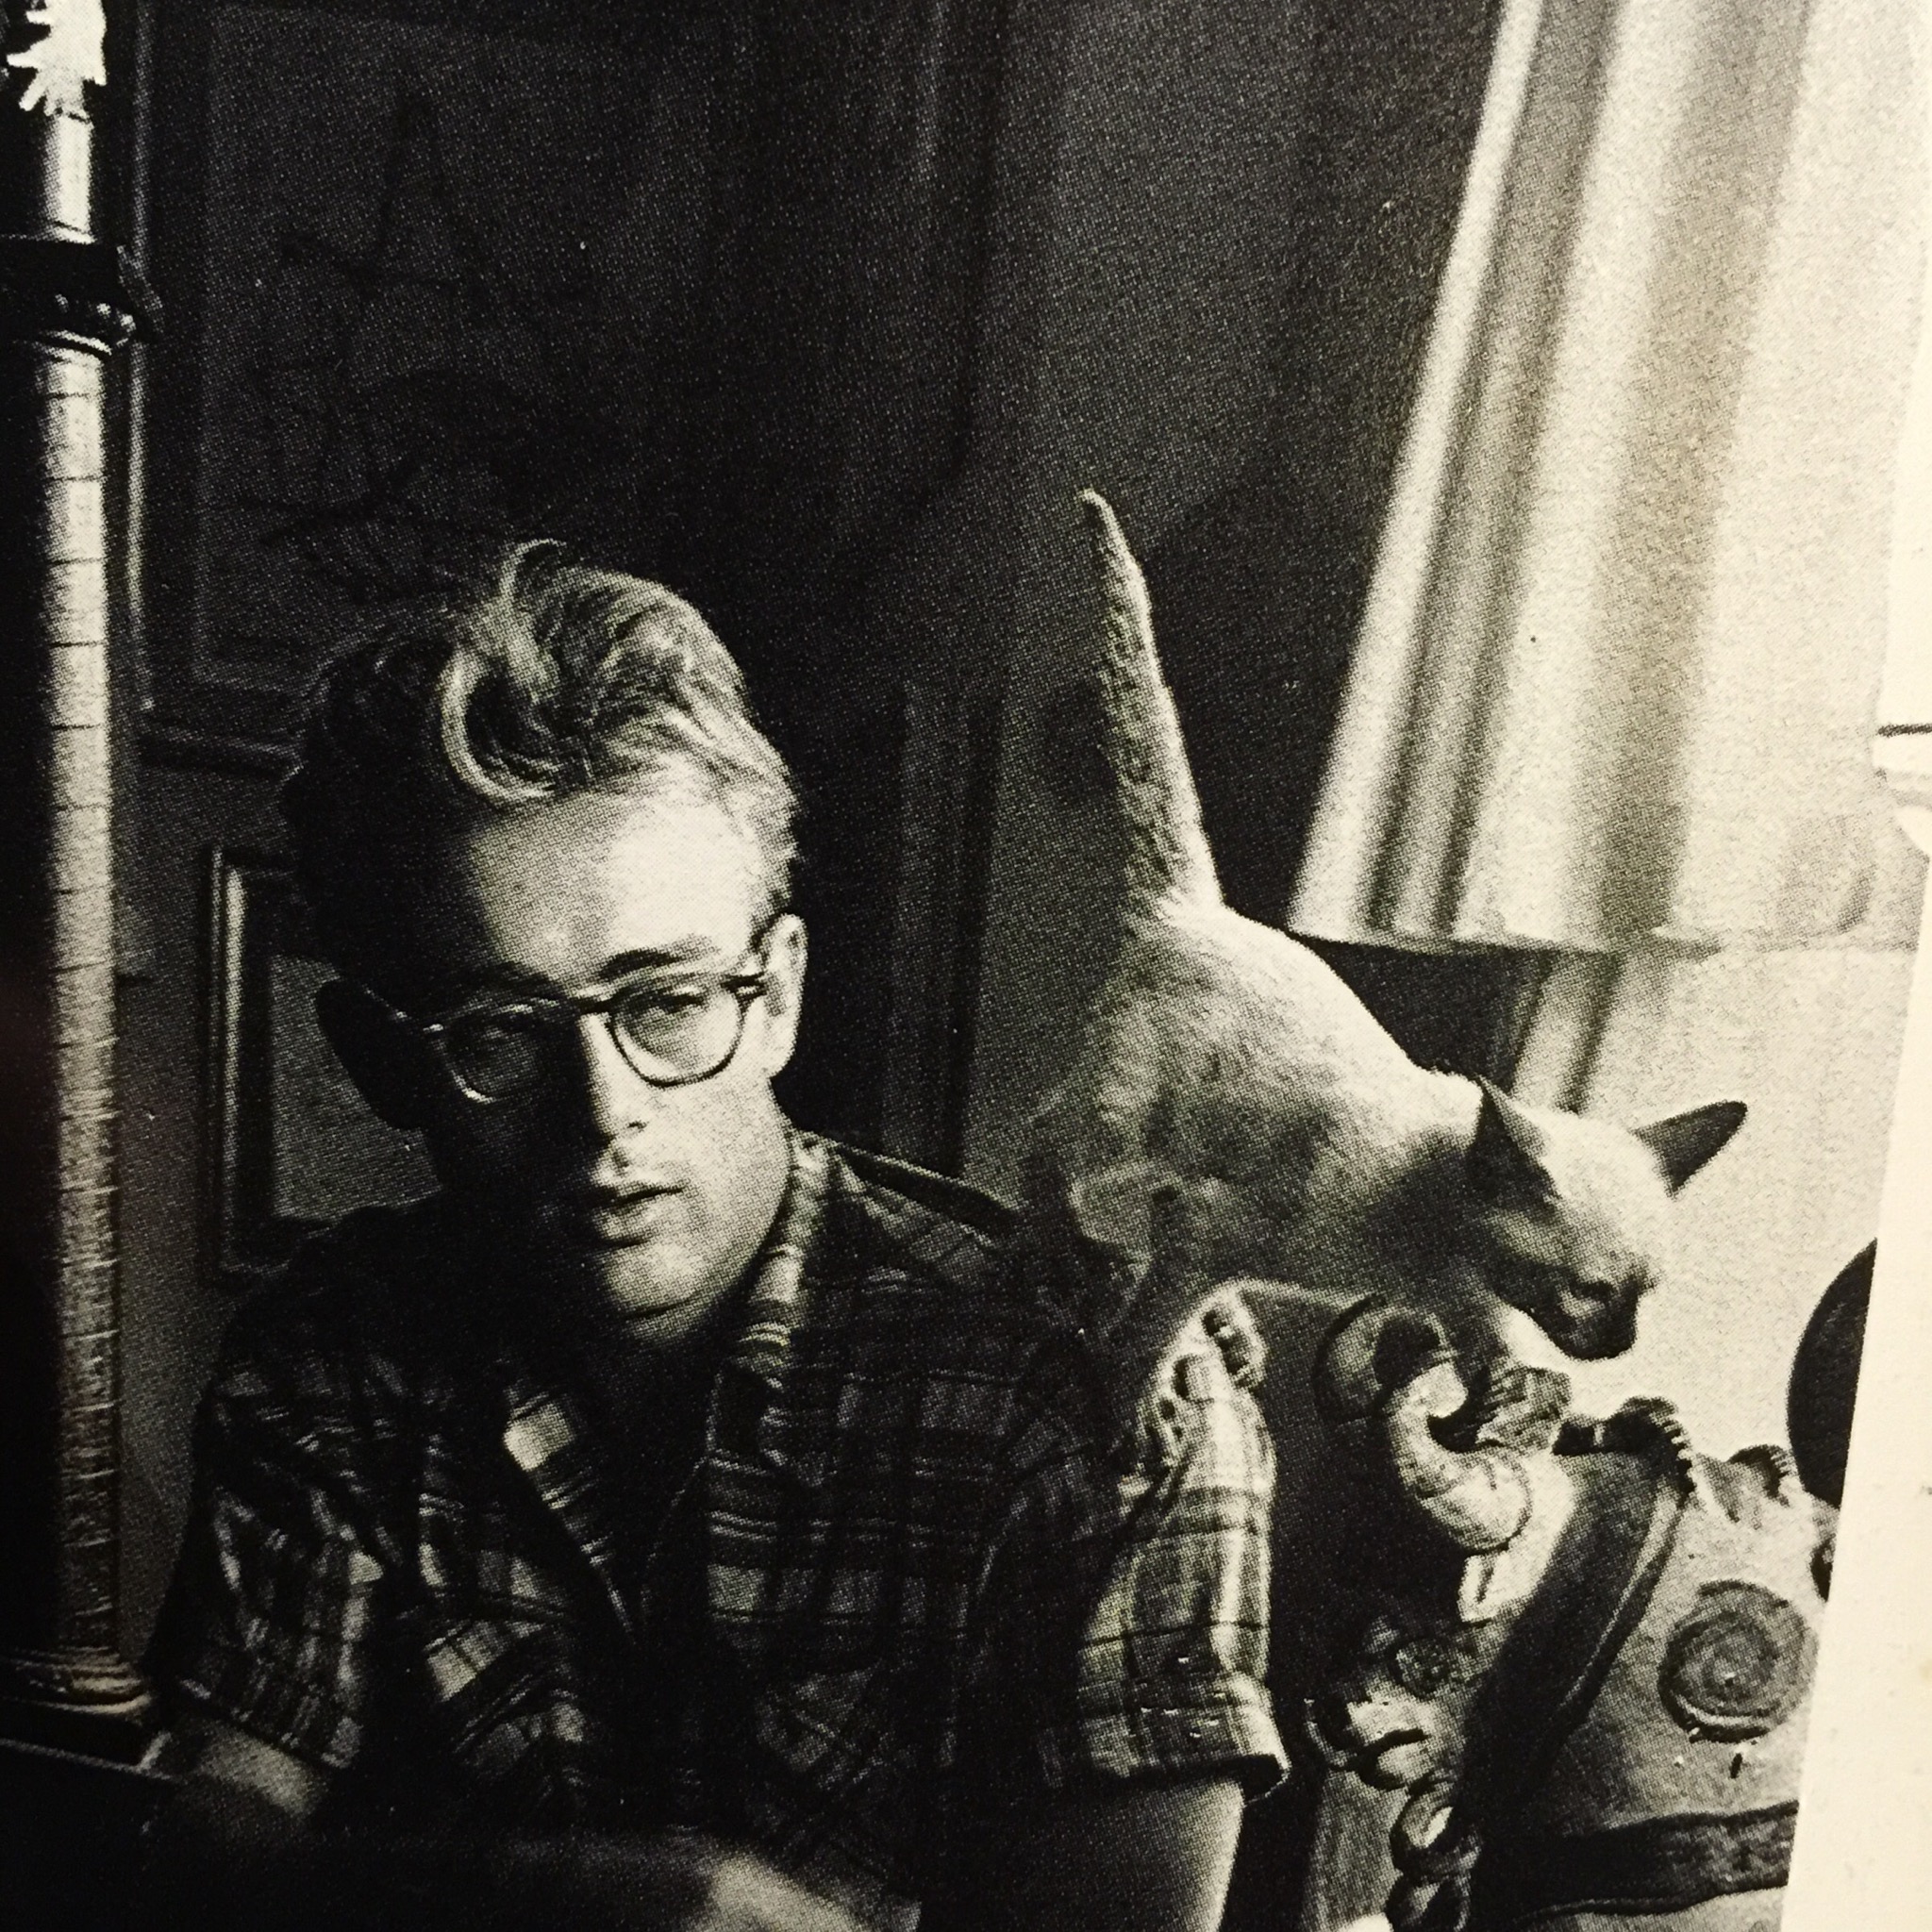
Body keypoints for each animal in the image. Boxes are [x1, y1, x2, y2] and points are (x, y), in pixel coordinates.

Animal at [1024, 491, 1746, 1448]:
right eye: (1591, 1291)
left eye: (1645, 1295)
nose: (1621, 1346)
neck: (1434, 1249)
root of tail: (1197, 910)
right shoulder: (1218, 1228)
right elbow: (1152, 1323)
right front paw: (1132, 1410)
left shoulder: (1448, 1299)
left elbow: (1491, 1351)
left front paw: (1514, 1407)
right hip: (1129, 1119)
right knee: (1049, 1138)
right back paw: (1060, 1249)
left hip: (1188, 1148)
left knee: (1148, 1211)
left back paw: (1232, 1330)